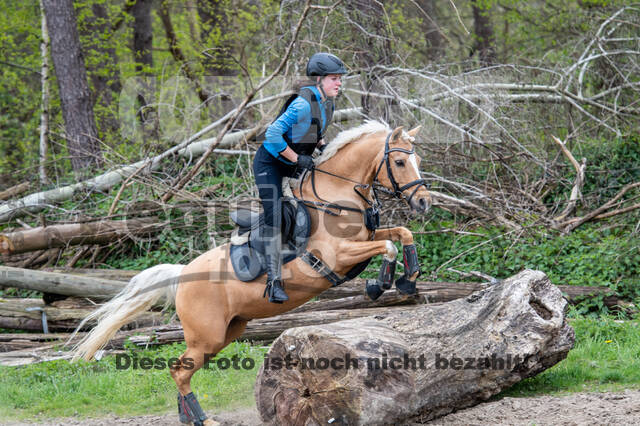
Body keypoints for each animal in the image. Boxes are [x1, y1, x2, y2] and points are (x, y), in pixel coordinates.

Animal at [70, 120, 432, 426]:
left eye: (417, 159)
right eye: (401, 163)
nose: (425, 202)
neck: (336, 199)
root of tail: (182, 274)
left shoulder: (366, 240)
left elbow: (402, 234)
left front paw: (406, 280)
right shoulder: (339, 255)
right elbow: (389, 247)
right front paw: (380, 283)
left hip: (227, 332)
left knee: (181, 370)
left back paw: (189, 416)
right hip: (207, 336)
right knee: (179, 370)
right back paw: (202, 419)